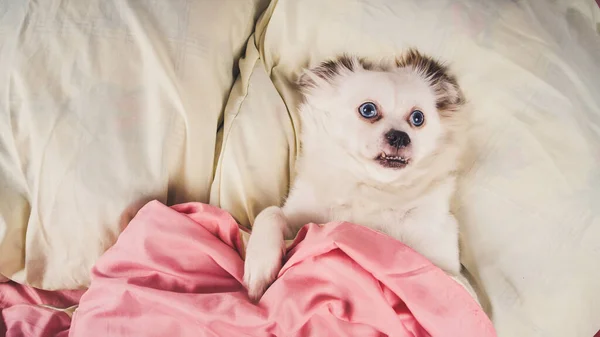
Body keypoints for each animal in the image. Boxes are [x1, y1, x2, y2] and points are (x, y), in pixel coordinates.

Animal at [244, 49, 468, 300]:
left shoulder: (438, 249)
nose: (400, 136)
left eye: (418, 118)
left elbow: (446, 278)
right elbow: (270, 213)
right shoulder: (299, 218)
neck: (373, 187)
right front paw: (259, 266)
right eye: (368, 110)